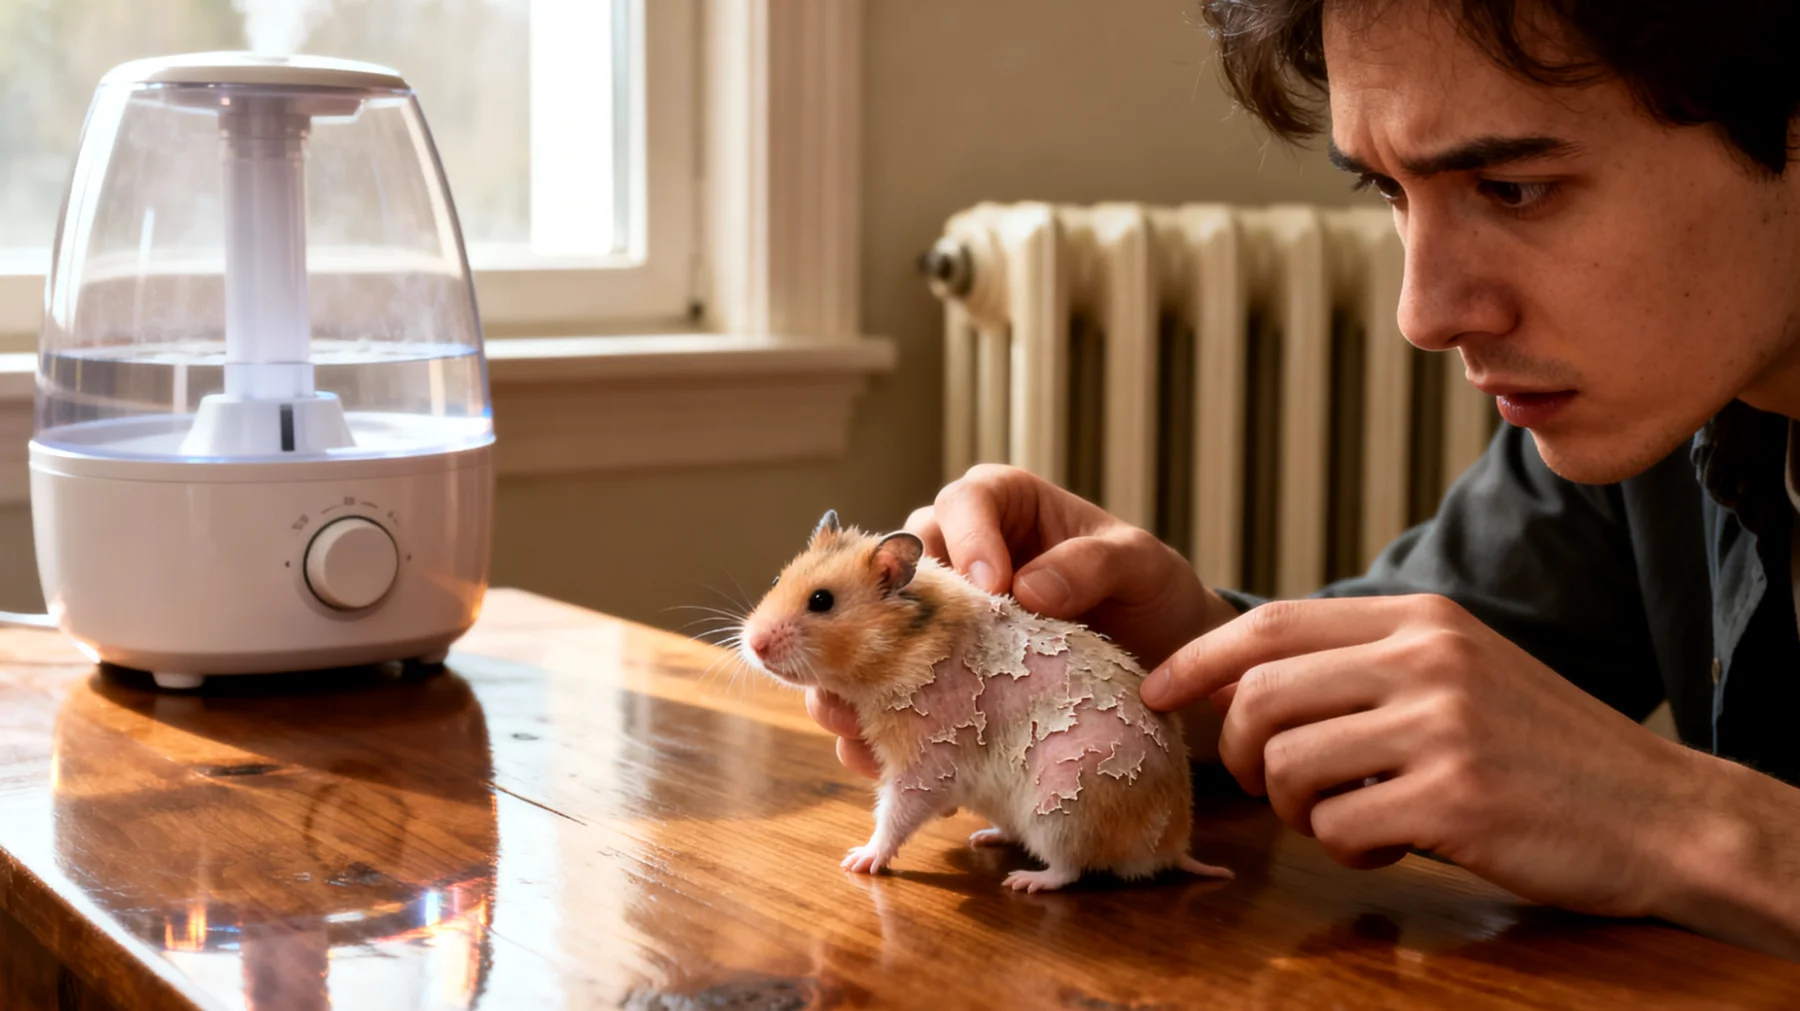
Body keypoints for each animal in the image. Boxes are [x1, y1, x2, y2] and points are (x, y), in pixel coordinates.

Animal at [736, 509, 1233, 892]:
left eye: (821, 600)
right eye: (777, 578)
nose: (754, 645)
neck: (904, 645)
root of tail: (1172, 844)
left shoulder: (926, 764)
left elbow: (895, 813)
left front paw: (857, 860)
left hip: (1063, 806)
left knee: (1071, 869)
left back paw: (1024, 881)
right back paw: (985, 838)